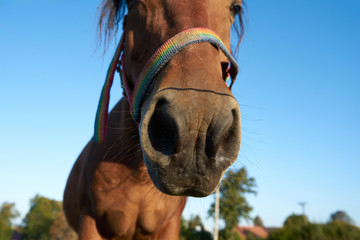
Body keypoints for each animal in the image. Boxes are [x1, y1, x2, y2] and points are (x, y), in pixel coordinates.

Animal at [64, 0, 245, 238]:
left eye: (235, 7)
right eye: (134, 3)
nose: (198, 126)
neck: (137, 177)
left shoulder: (169, 226)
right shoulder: (90, 223)